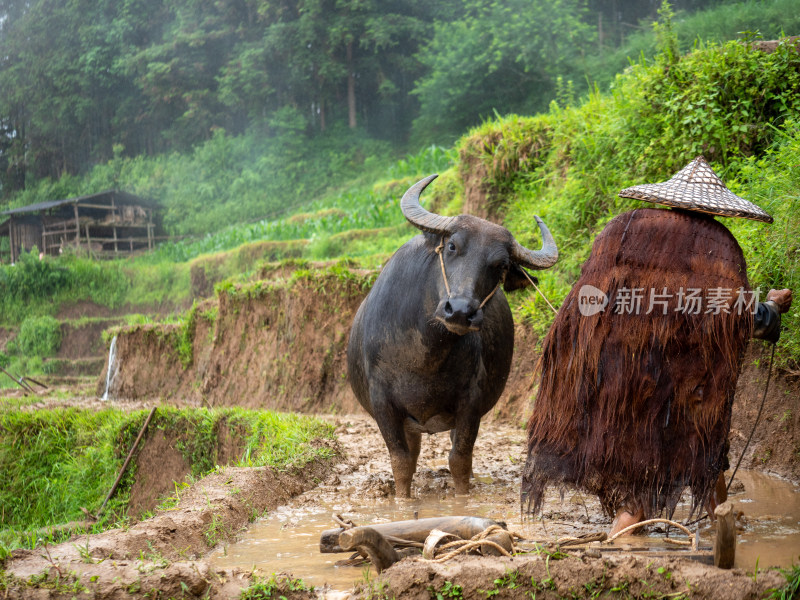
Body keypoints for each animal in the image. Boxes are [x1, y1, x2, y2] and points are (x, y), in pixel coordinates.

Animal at [346, 175, 560, 496]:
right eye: (452, 246)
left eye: (501, 266)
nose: (460, 311)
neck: (425, 353)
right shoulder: (382, 403)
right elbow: (401, 462)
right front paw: (402, 500)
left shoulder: (471, 402)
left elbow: (459, 460)